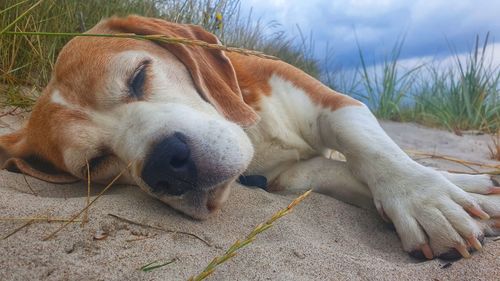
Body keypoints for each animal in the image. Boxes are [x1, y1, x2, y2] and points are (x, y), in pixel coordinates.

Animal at [0, 15, 498, 260]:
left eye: (138, 76)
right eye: (97, 164)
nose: (166, 165)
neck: (256, 135)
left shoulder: (335, 105)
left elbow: (372, 149)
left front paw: (425, 199)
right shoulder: (291, 177)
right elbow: (346, 176)